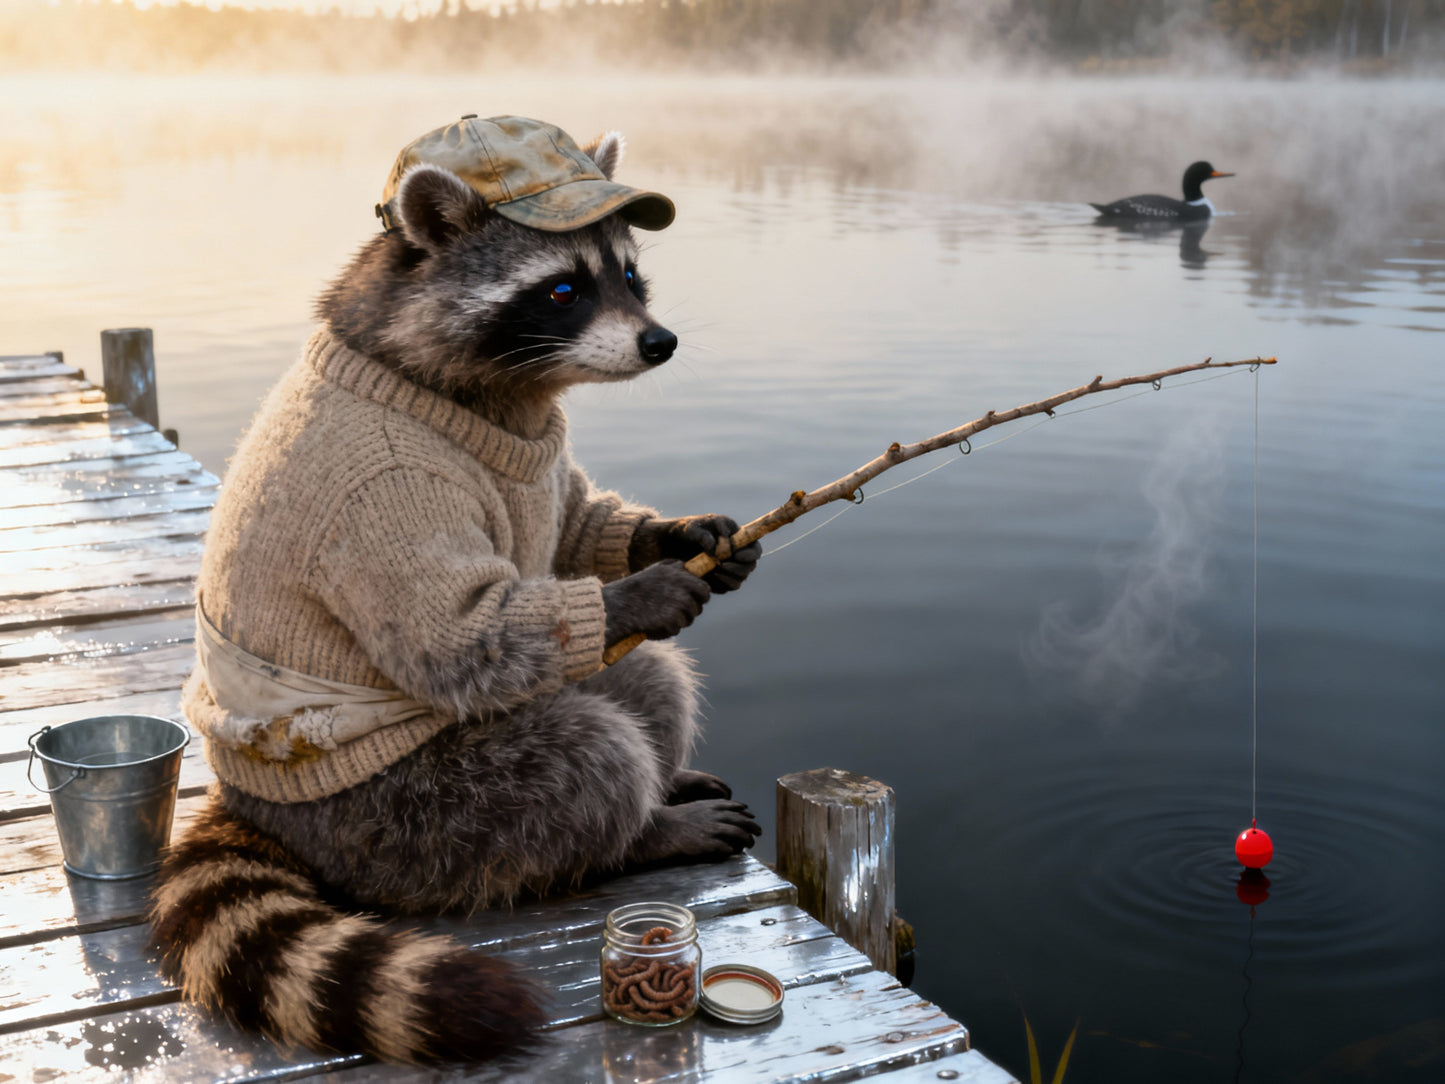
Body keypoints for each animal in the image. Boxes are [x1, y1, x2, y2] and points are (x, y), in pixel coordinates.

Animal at [150, 118, 762, 1063]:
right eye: (560, 289)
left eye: (629, 276)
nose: (657, 341)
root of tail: (260, 808)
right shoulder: (386, 494)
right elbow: (454, 637)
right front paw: (640, 594)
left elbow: (573, 520)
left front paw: (674, 537)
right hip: (402, 818)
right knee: (581, 757)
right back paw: (637, 836)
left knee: (645, 680)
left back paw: (662, 782)